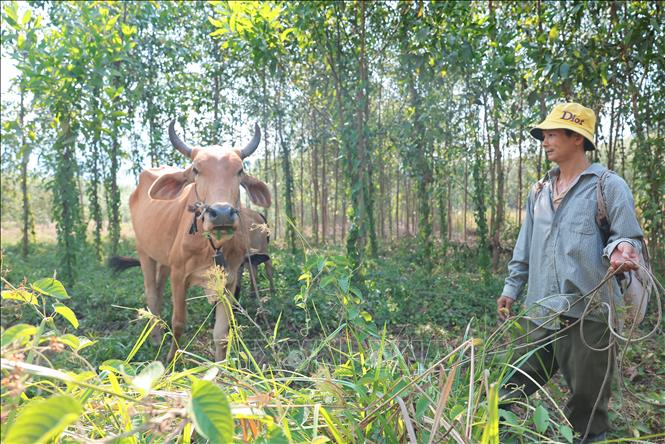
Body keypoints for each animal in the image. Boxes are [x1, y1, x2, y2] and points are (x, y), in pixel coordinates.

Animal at [111, 119, 270, 362]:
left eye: (240, 171)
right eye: (196, 170)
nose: (221, 213)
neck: (212, 247)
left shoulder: (230, 279)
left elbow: (221, 333)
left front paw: (220, 368)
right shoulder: (179, 275)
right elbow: (179, 322)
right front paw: (171, 360)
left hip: (164, 259)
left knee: (158, 289)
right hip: (144, 252)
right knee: (151, 292)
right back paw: (156, 338)